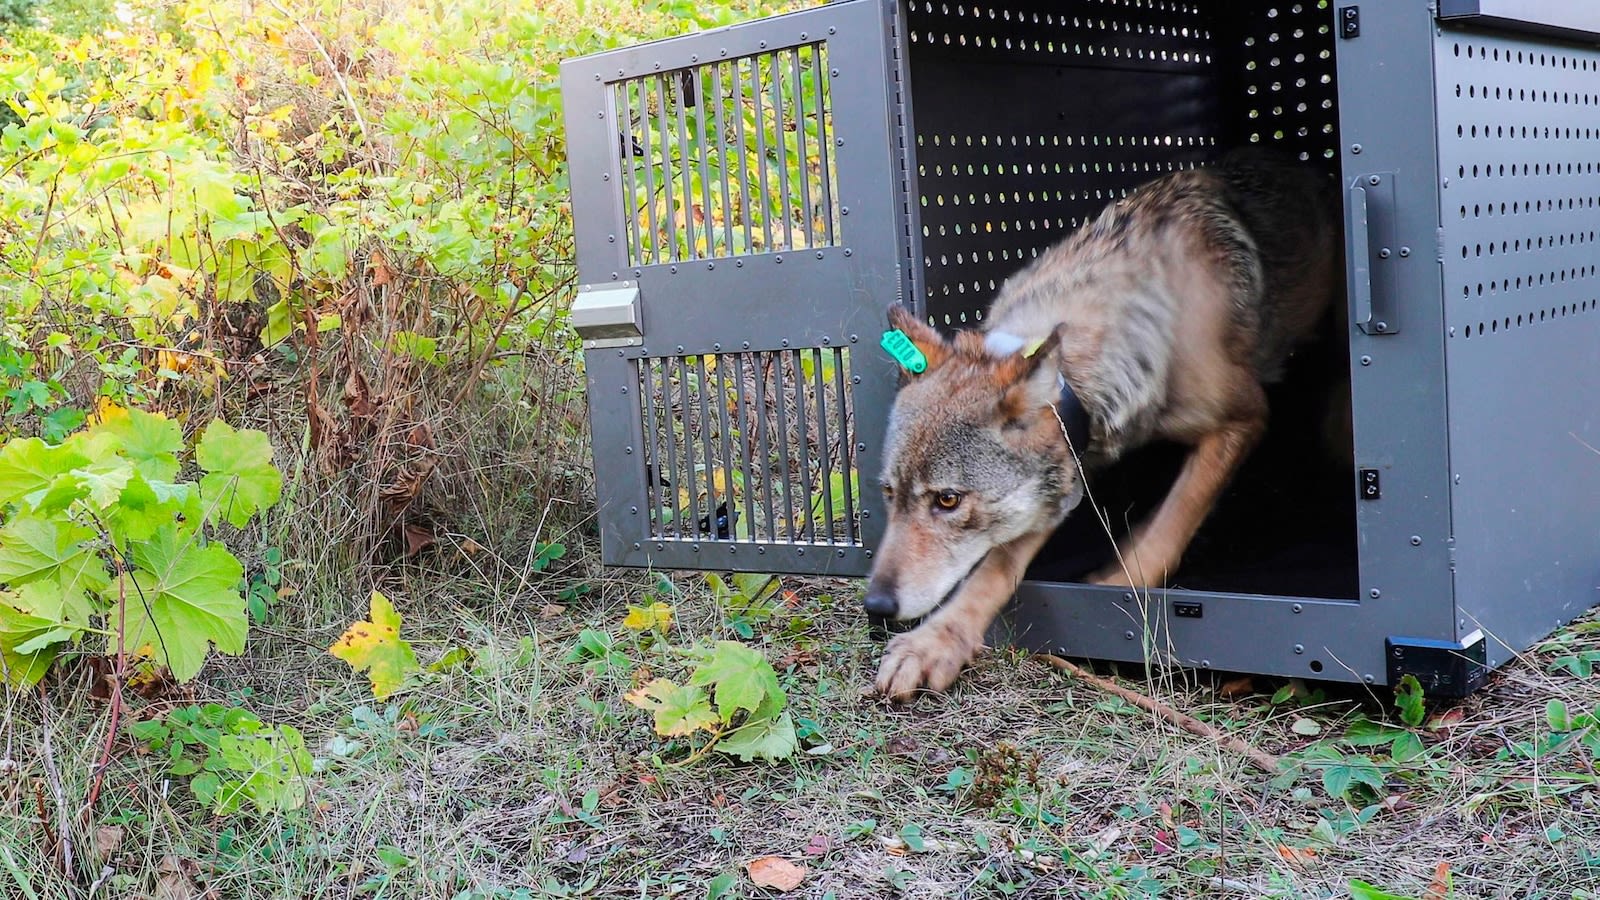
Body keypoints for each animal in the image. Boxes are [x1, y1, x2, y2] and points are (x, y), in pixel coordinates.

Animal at [864, 147, 1337, 698]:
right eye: (890, 494)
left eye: (947, 501)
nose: (875, 606)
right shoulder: (1067, 470)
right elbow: (995, 568)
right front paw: (934, 643)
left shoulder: (1245, 416)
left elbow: (1174, 519)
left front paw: (1117, 585)